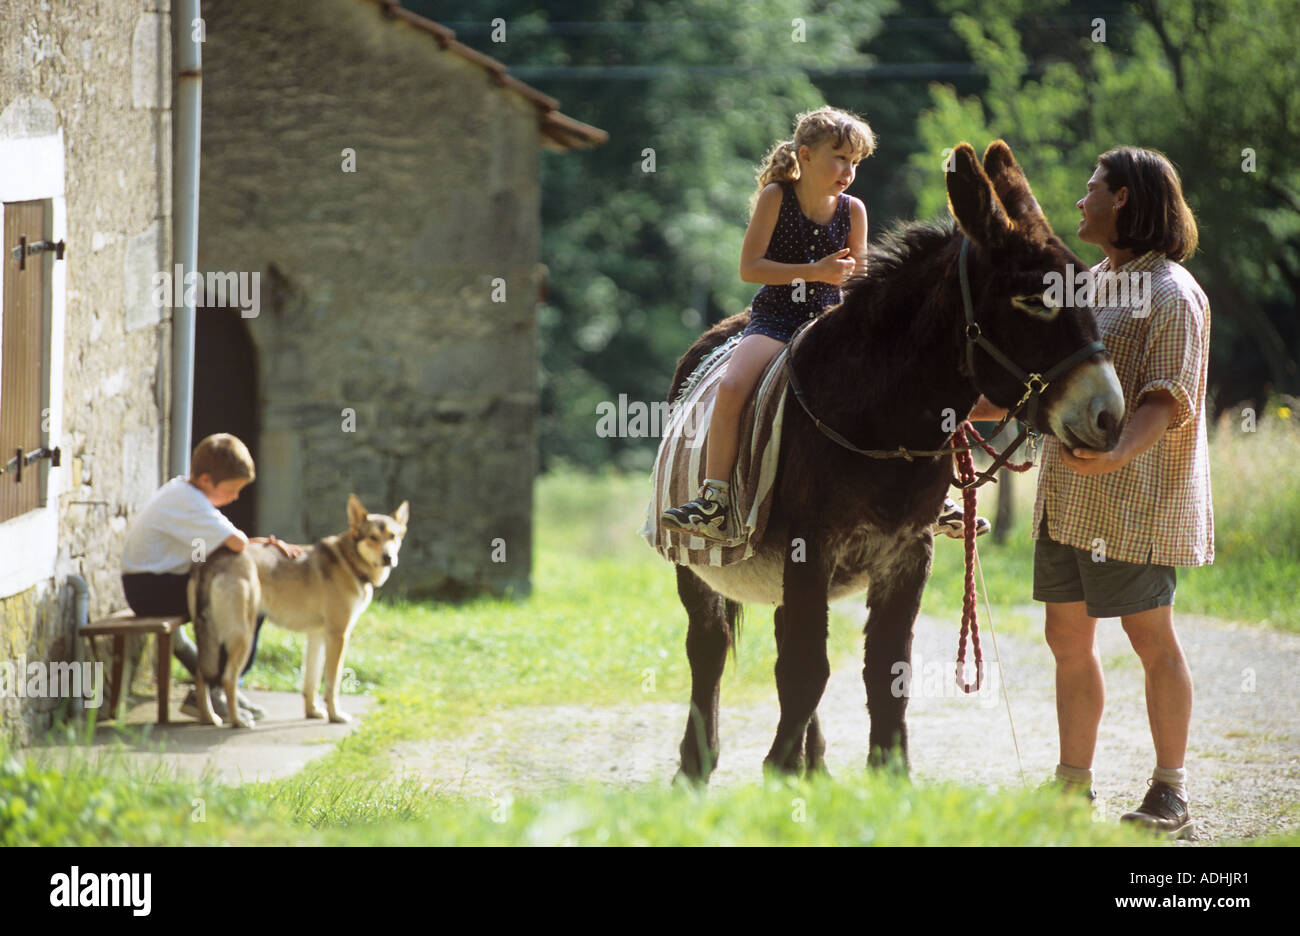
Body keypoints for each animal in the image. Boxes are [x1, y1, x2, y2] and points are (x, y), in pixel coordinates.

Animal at [188, 493, 408, 728]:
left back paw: (209, 718)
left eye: (393, 536)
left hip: (213, 638)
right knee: (227, 678)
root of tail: (213, 560)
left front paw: (313, 712)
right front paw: (335, 715)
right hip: (242, 637)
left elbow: (310, 683)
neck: (350, 562)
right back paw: (238, 720)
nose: (388, 558)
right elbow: (332, 684)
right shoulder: (338, 636)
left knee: (200, 674)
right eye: (373, 537)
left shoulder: (316, 636)